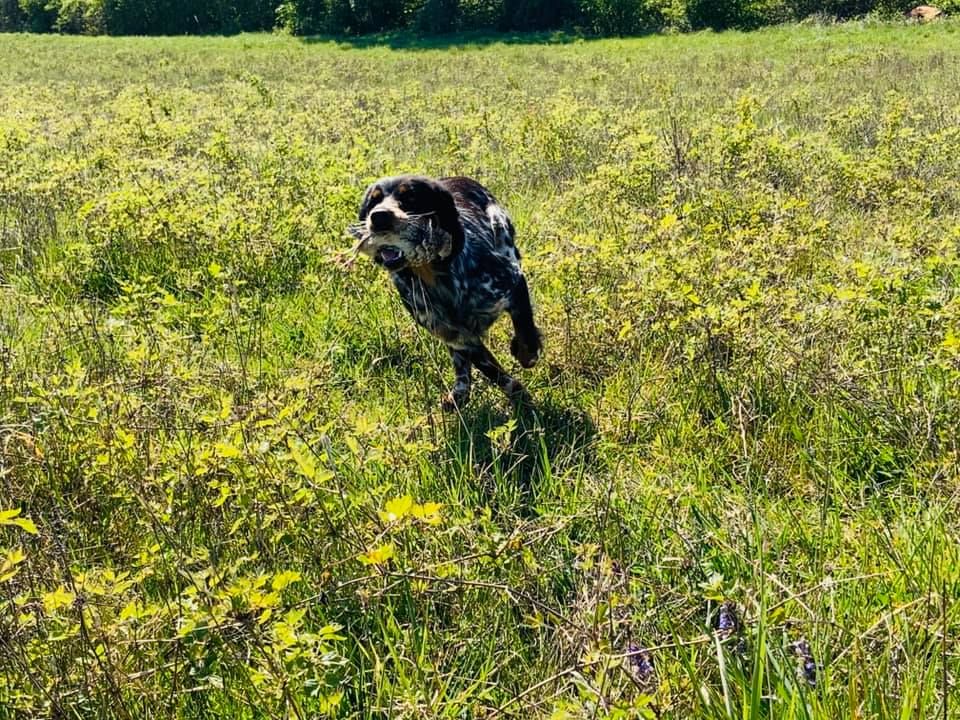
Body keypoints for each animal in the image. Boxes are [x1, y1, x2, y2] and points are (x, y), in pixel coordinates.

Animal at [346, 175, 544, 410]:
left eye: (410, 197)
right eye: (373, 202)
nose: (379, 217)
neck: (435, 276)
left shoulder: (513, 282)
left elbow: (525, 329)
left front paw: (526, 355)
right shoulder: (456, 334)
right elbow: (488, 367)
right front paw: (514, 390)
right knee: (461, 364)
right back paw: (460, 391)